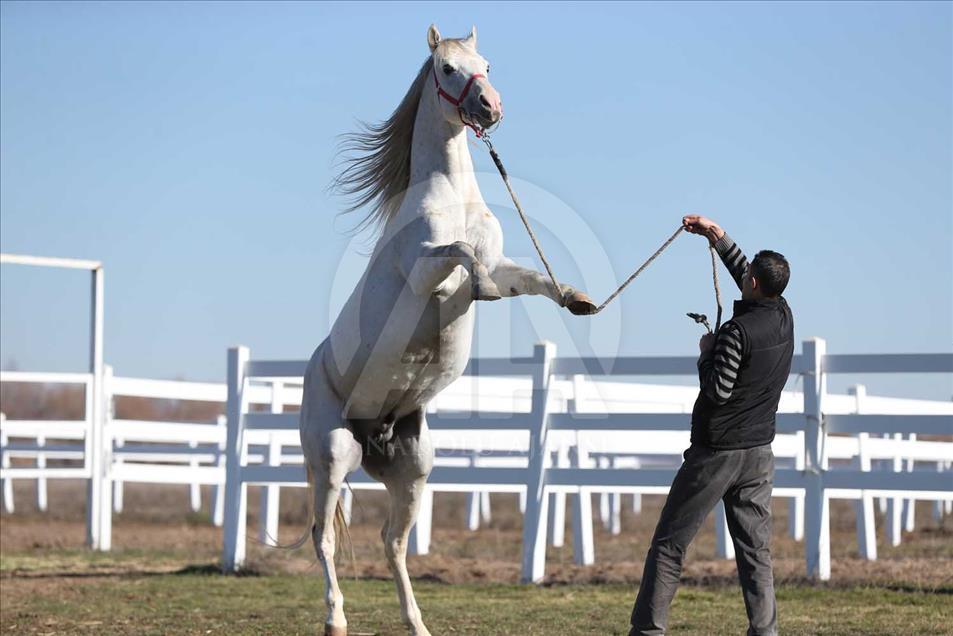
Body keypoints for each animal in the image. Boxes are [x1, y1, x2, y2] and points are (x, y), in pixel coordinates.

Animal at [299, 24, 595, 636]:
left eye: (487, 63)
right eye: (448, 69)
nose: (491, 107)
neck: (453, 197)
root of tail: (372, 433)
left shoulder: (505, 266)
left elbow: (528, 277)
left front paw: (576, 298)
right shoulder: (425, 273)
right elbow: (460, 254)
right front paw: (477, 284)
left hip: (413, 471)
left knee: (392, 542)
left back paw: (417, 623)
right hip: (332, 458)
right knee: (323, 539)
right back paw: (336, 619)